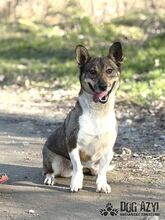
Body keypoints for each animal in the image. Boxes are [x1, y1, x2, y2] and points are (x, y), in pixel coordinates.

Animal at [42, 42, 122, 193]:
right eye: (92, 72)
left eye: (109, 70)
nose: (103, 86)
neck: (98, 111)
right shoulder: (73, 145)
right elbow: (78, 167)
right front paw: (76, 183)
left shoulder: (108, 150)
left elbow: (102, 170)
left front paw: (102, 184)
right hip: (53, 161)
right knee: (50, 171)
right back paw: (50, 178)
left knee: (95, 170)